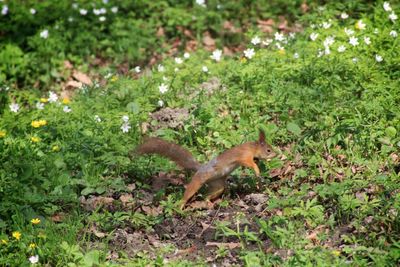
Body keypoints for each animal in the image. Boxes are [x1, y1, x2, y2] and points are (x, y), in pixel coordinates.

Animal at [136, 131, 276, 210]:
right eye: (268, 150)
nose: (275, 154)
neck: (252, 148)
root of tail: (200, 168)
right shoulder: (243, 156)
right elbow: (248, 163)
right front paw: (257, 170)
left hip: (217, 185)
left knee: (206, 196)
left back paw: (208, 202)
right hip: (198, 181)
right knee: (189, 193)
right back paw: (180, 205)